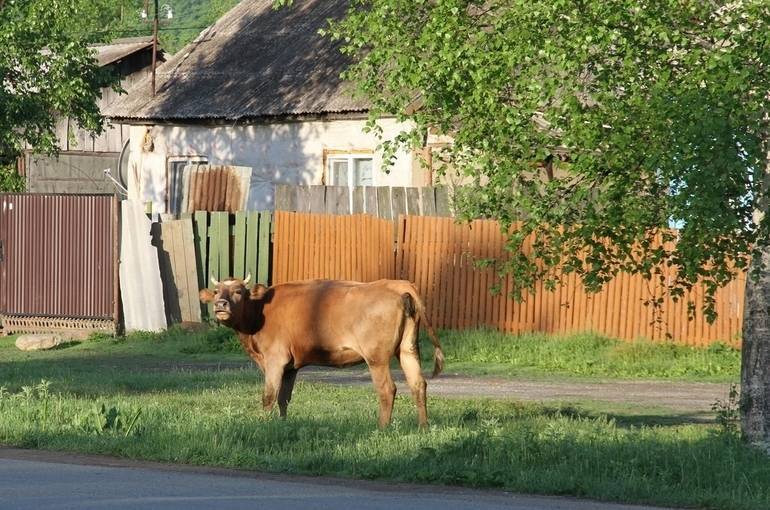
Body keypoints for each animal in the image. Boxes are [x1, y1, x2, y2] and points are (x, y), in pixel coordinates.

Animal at [198, 272, 444, 428]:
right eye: (216, 291)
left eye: (239, 291)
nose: (220, 305)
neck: (261, 311)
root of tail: (397, 284)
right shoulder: (290, 367)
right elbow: (284, 398)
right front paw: (282, 424)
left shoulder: (275, 360)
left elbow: (269, 396)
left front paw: (264, 425)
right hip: (407, 350)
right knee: (418, 384)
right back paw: (423, 427)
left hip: (377, 358)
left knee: (387, 389)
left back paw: (382, 427)